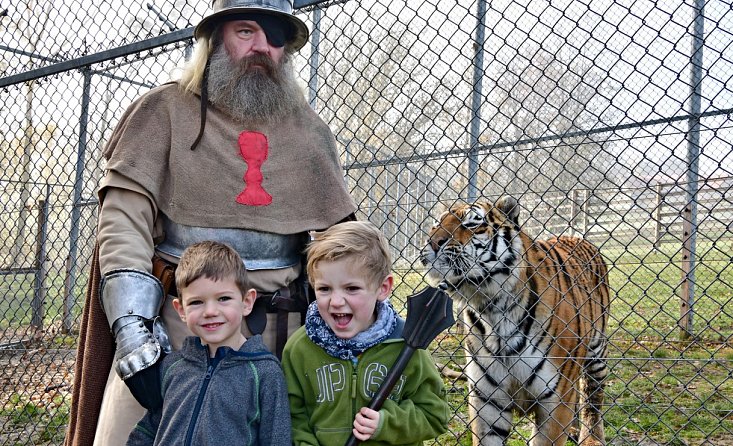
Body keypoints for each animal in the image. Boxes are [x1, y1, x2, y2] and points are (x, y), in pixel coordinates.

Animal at [420, 197, 608, 444]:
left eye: (472, 224)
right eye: (436, 224)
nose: (433, 242)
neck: (491, 309)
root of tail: (575, 236)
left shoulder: (555, 400)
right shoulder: (487, 400)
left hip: (596, 354)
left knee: (592, 397)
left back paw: (591, 437)